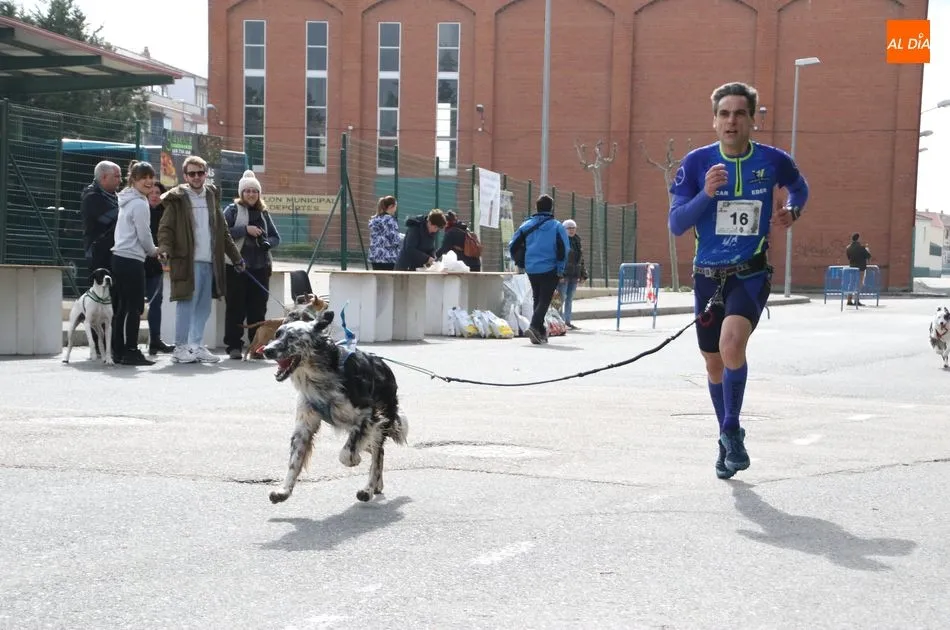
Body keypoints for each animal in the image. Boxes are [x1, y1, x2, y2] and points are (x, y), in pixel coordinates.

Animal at [262, 310, 408, 504]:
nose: (266, 350)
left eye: (292, 337)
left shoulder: (369, 416)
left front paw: (354, 460)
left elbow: (346, 454)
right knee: (376, 450)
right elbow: (294, 461)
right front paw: (284, 491)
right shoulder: (304, 426)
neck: (321, 374)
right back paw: (377, 485)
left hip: (380, 423)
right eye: (277, 334)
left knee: (377, 453)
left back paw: (368, 489)